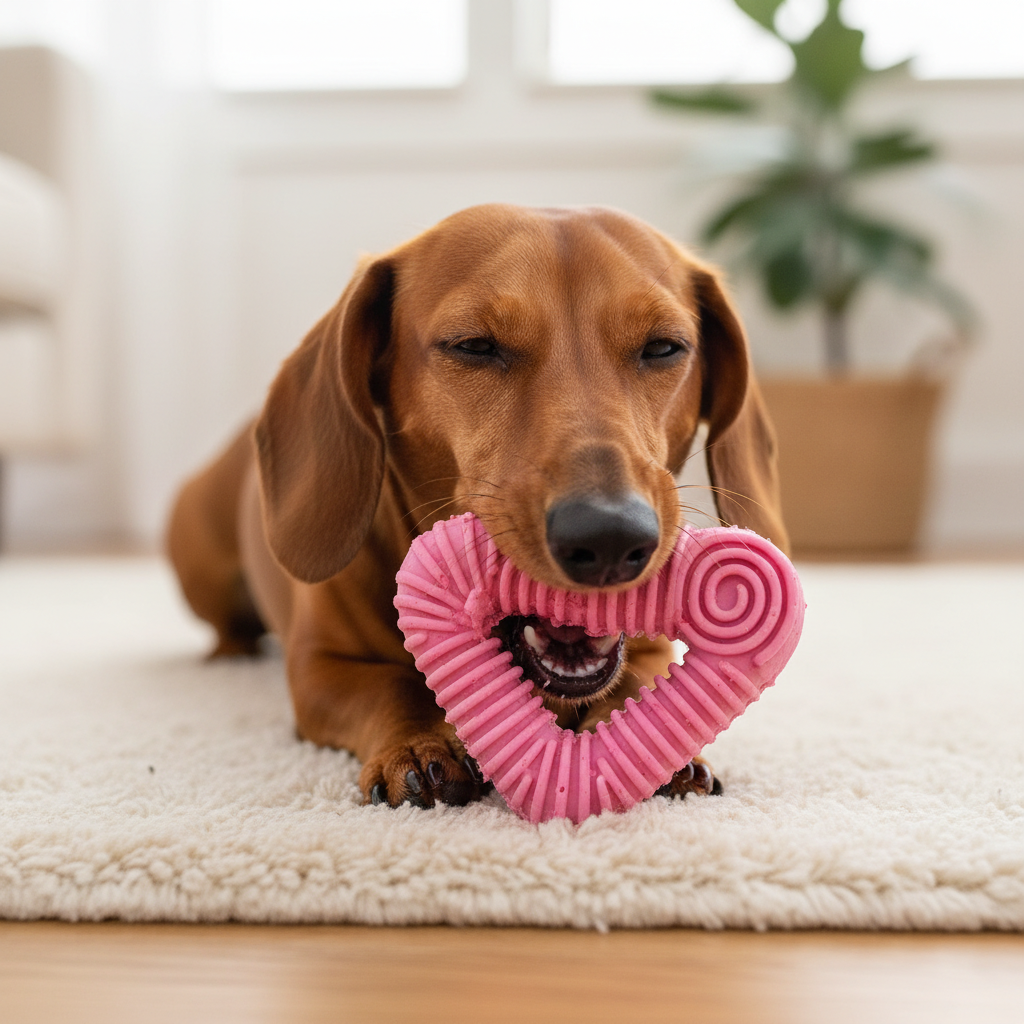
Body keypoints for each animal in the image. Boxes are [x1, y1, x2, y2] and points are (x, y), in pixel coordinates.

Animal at [167, 204, 787, 809]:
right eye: (474, 346)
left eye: (663, 347)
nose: (610, 537)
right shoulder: (320, 668)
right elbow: (392, 686)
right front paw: (417, 744)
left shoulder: (651, 648)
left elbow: (636, 679)